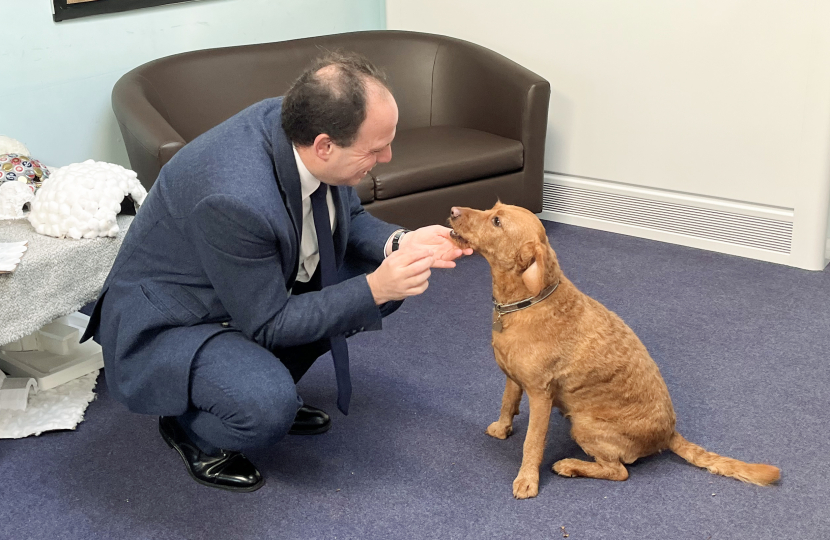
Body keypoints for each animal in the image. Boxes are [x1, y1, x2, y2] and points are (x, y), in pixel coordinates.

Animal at [448, 205, 780, 500]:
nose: (452, 210)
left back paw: (571, 465)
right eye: (492, 208)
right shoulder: (514, 378)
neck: (527, 301)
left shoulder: (541, 395)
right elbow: (507, 403)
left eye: (497, 221)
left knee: (618, 471)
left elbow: (532, 443)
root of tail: (669, 434)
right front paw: (502, 429)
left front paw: (527, 480)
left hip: (585, 426)